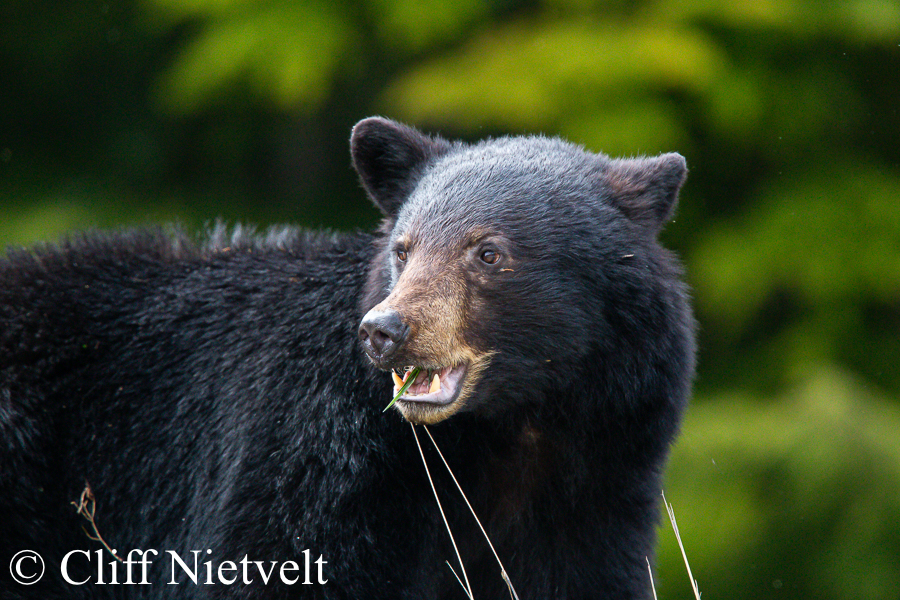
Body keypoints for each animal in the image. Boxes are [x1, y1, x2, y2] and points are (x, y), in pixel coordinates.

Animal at [0, 118, 696, 600]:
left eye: (488, 252)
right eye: (403, 248)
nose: (383, 330)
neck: (507, 432)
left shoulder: (598, 478)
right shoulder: (319, 459)